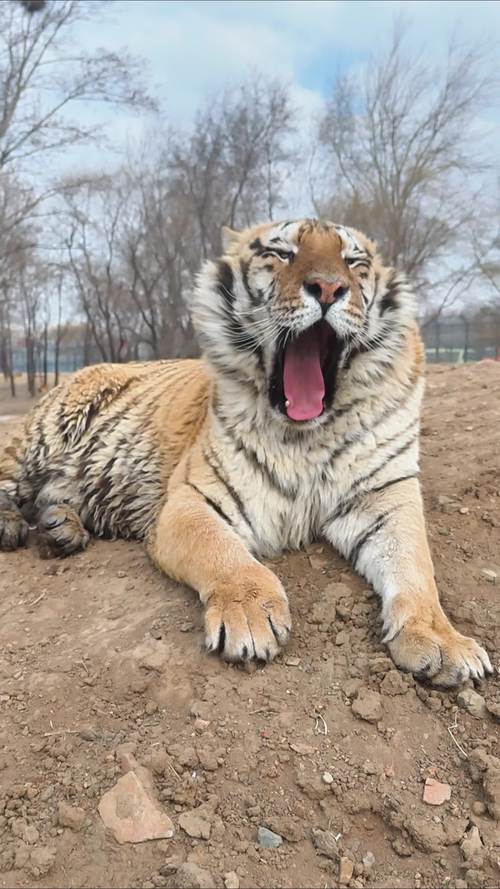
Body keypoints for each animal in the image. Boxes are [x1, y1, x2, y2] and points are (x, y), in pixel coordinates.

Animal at [0, 218, 492, 687]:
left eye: (354, 262)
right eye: (282, 253)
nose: (329, 288)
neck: (307, 435)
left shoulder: (385, 495)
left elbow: (416, 567)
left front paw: (444, 642)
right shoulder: (192, 500)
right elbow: (226, 555)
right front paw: (251, 615)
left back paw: (60, 529)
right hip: (40, 438)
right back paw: (16, 527)